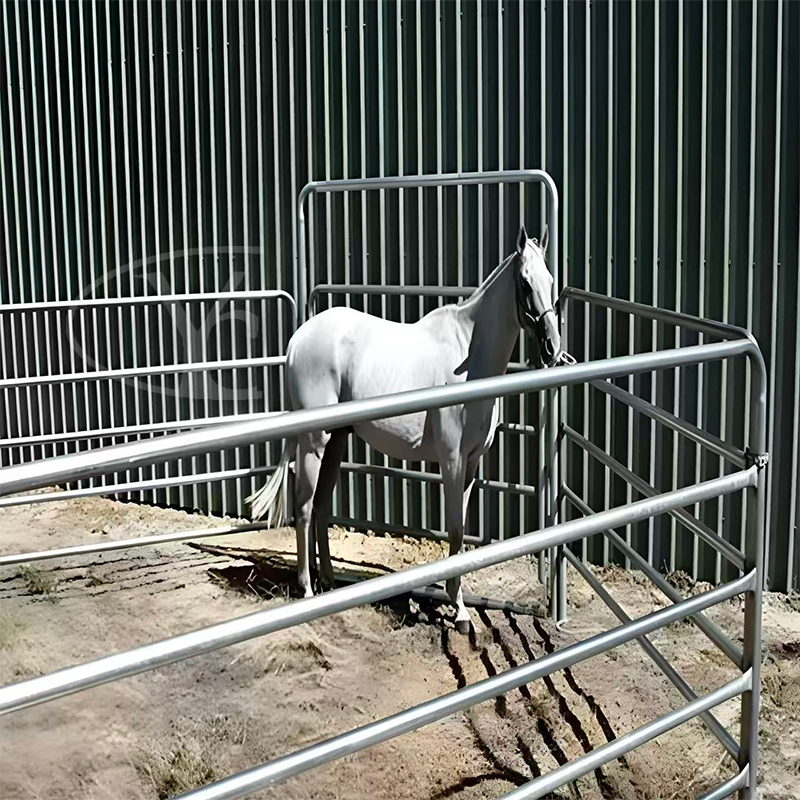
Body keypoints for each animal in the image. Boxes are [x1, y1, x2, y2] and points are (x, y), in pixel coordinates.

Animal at [247, 225, 561, 634]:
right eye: (525, 283)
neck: (469, 355)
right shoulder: (451, 461)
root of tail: (299, 339)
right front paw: (460, 613)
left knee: (320, 506)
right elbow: (454, 529)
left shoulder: (472, 463)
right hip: (315, 442)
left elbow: (461, 531)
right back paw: (307, 590)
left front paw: (458, 606)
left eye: (551, 281)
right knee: (303, 506)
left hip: (337, 440)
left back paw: (330, 583)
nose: (553, 347)